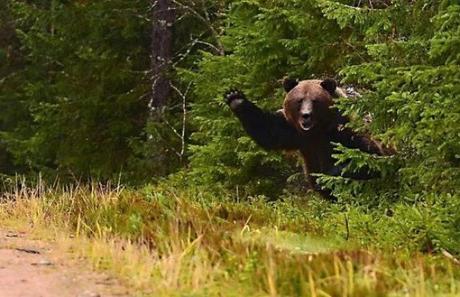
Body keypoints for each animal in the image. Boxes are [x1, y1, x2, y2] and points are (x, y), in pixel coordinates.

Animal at [225, 78, 390, 199]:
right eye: (299, 100)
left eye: (315, 100)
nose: (306, 115)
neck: (317, 131)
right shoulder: (292, 131)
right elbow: (268, 130)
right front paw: (235, 97)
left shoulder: (344, 130)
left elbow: (365, 157)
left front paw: (327, 177)